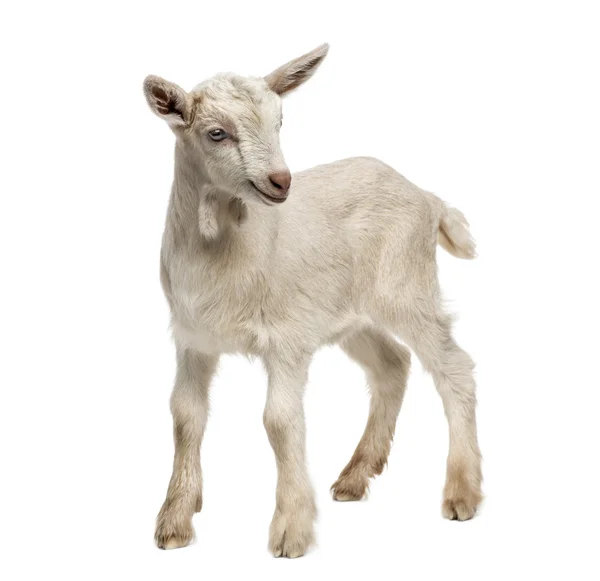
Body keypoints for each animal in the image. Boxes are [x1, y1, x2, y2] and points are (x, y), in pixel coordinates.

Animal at [143, 42, 480, 556]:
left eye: (280, 122)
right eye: (216, 133)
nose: (281, 181)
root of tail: (427, 197)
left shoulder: (287, 337)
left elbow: (280, 421)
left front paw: (290, 530)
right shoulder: (192, 338)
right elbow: (185, 416)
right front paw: (176, 520)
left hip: (408, 289)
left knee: (453, 367)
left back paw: (462, 492)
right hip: (351, 314)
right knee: (393, 363)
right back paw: (357, 475)